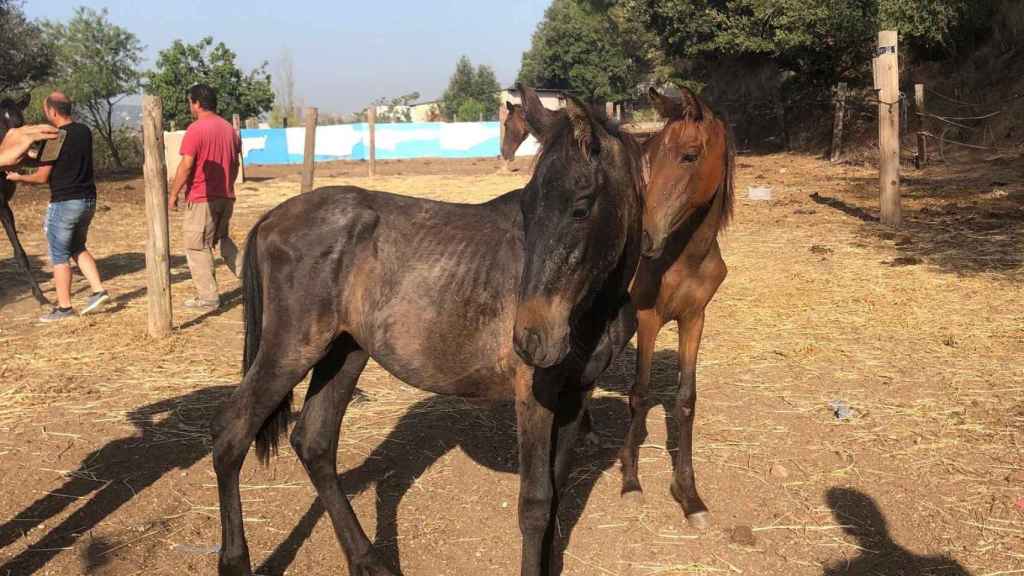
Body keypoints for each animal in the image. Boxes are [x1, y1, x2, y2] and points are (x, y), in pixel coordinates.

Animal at [211, 93, 643, 573]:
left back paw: (368, 559)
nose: (531, 339)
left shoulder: (576, 390)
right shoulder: (535, 392)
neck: (593, 307)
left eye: (581, 207)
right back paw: (235, 561)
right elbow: (535, 503)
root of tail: (271, 218)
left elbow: (558, 490)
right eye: (527, 209)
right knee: (231, 434)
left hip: (344, 351)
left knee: (314, 442)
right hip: (291, 347)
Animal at [618, 84, 733, 524]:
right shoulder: (648, 317)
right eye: (649, 155)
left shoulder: (694, 319)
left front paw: (688, 494)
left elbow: (685, 400)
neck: (683, 259)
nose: (644, 237)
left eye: (690, 154)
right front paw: (630, 480)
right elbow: (640, 391)